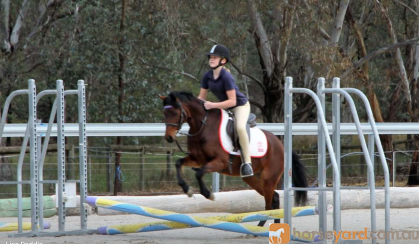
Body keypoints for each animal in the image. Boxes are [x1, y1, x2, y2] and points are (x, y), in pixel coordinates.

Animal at [161, 91, 308, 227]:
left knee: (269, 204)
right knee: (274, 199)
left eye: (175, 112)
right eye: (165, 113)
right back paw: (265, 227)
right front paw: (187, 189)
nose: (169, 137)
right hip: (253, 179)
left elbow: (199, 173)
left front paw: (208, 194)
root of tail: (281, 145)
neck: (203, 126)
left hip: (269, 179)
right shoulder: (197, 159)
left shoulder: (220, 162)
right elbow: (178, 163)